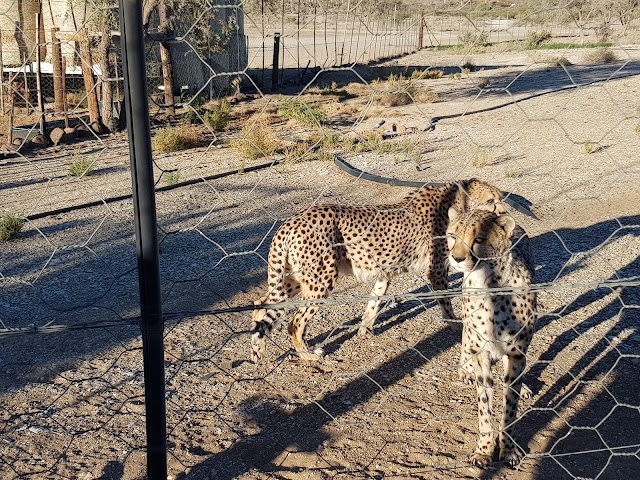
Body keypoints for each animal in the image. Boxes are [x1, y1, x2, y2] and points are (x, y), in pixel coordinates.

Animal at [250, 178, 504, 362]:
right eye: (492, 199)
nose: (504, 214)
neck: (456, 204)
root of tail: (291, 221)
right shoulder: (437, 270)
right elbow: (445, 300)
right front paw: (455, 324)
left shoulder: (384, 273)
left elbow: (374, 301)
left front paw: (364, 329)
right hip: (320, 280)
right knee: (294, 322)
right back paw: (307, 355)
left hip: (295, 277)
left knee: (261, 304)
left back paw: (257, 351)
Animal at [448, 208, 536, 466]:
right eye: (453, 236)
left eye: (479, 239)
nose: (456, 258)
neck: (488, 282)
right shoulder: (482, 353)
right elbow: (484, 405)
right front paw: (484, 450)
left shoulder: (516, 353)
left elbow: (510, 404)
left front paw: (508, 449)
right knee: (465, 341)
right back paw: (465, 371)